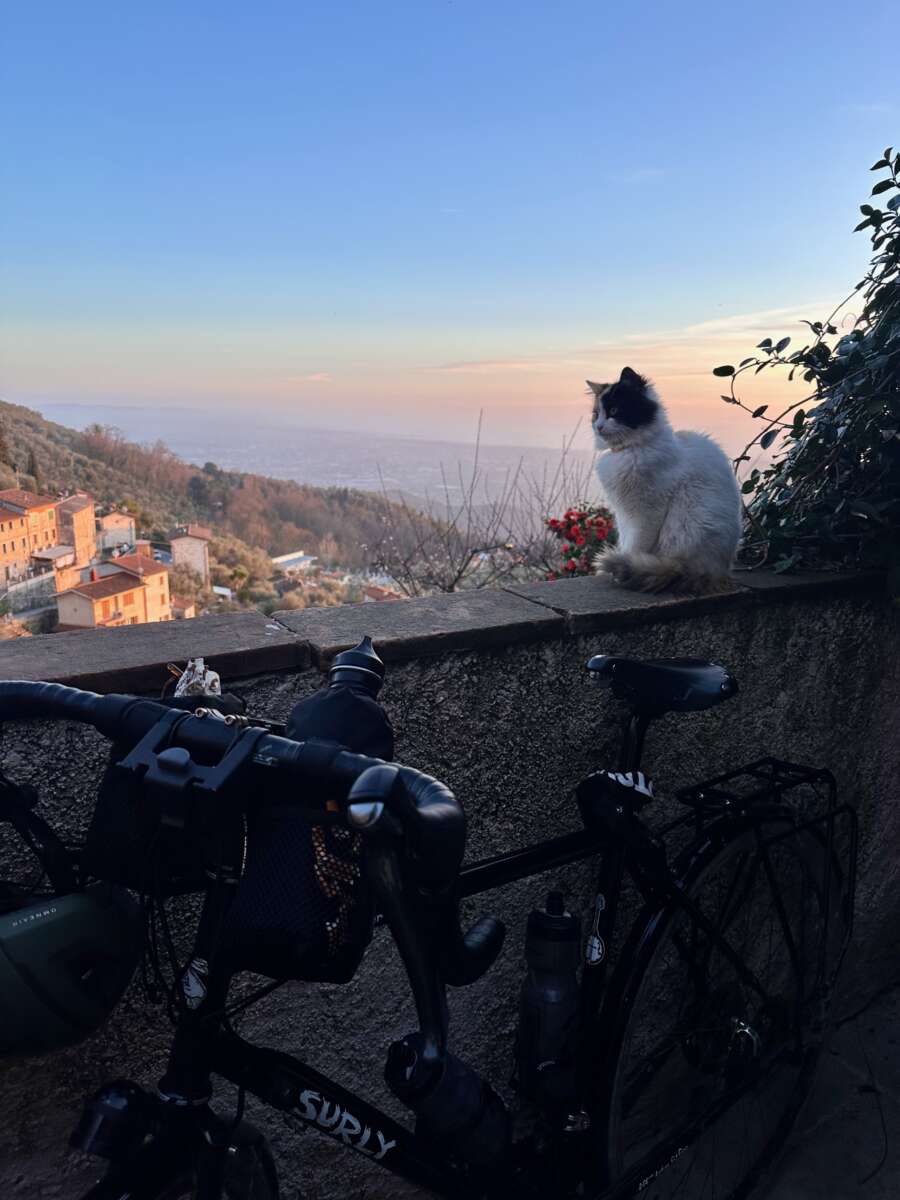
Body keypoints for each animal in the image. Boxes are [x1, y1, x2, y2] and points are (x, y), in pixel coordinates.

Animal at [588, 364, 744, 590]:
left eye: (614, 411)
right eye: (595, 414)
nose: (598, 426)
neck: (631, 450)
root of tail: (717, 571)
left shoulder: (647, 511)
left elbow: (635, 546)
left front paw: (624, 564)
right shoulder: (623, 513)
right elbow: (625, 542)